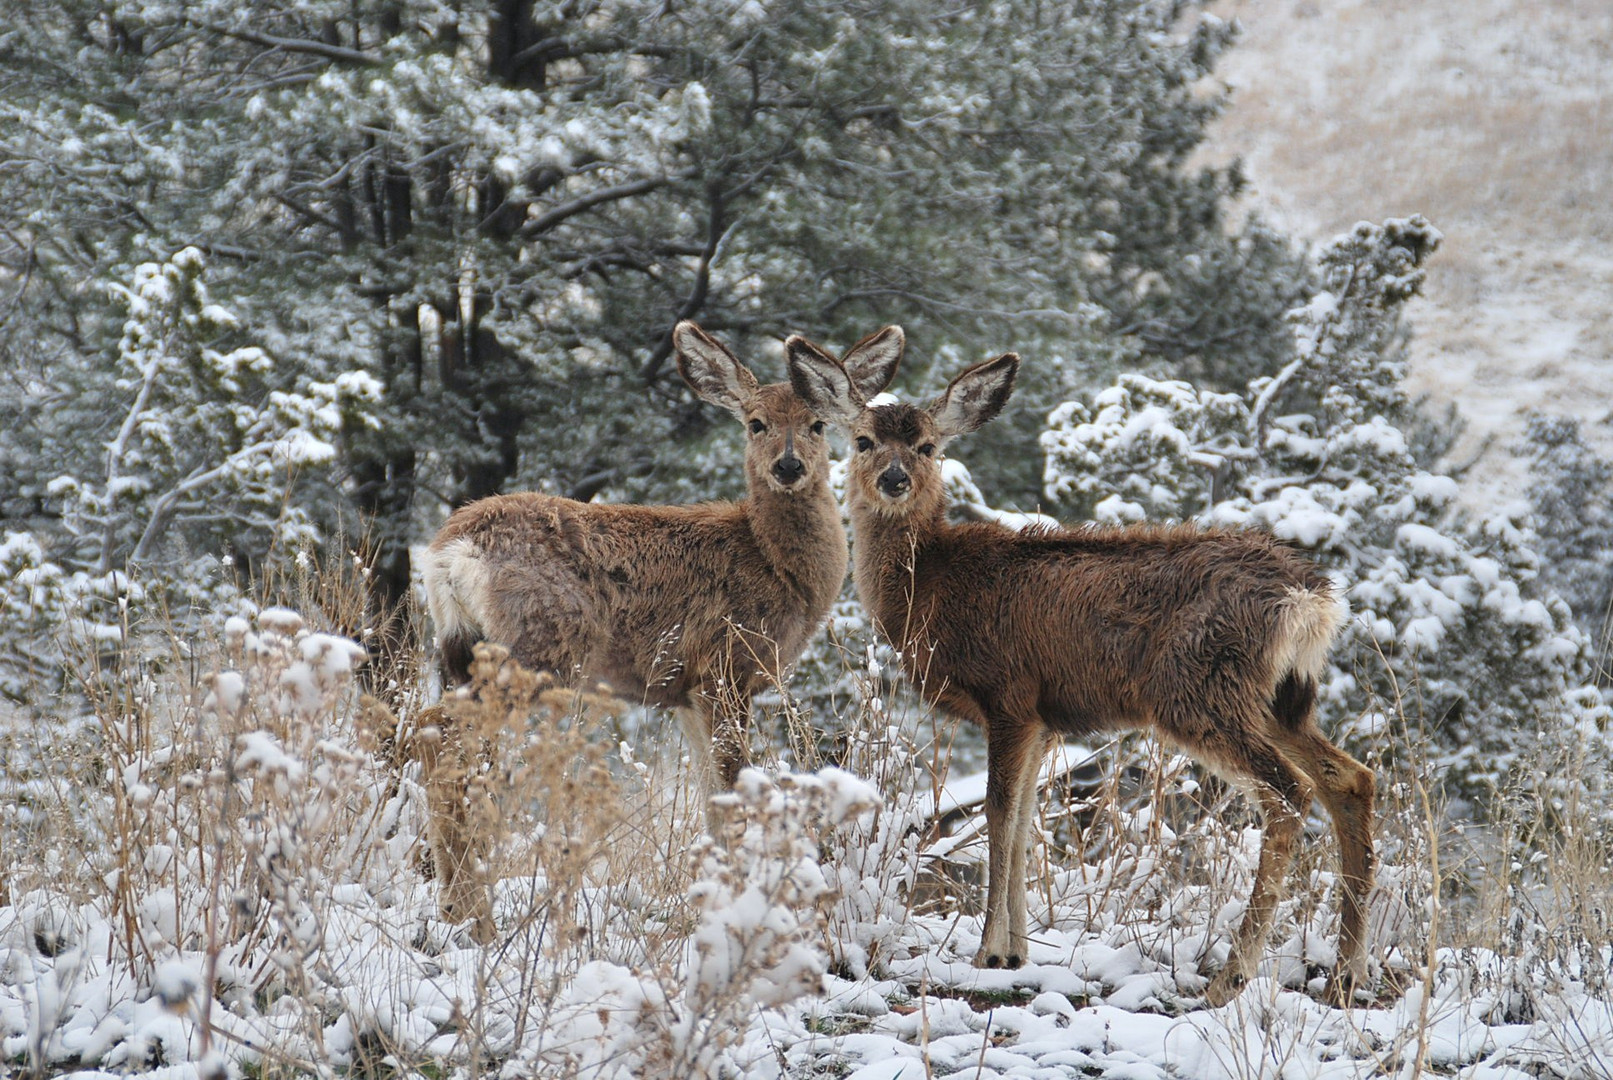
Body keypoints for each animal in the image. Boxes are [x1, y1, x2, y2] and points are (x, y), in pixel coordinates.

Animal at [780, 343, 1374, 1012]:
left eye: (928, 446)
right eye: (862, 440)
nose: (894, 479)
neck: (928, 587)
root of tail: (1310, 598)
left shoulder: (1008, 693)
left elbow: (998, 813)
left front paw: (990, 953)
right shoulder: (1043, 719)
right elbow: (1020, 822)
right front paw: (1017, 952)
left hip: (1198, 690)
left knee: (1288, 792)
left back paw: (1231, 979)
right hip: (1279, 700)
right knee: (1350, 778)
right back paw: (1347, 973)